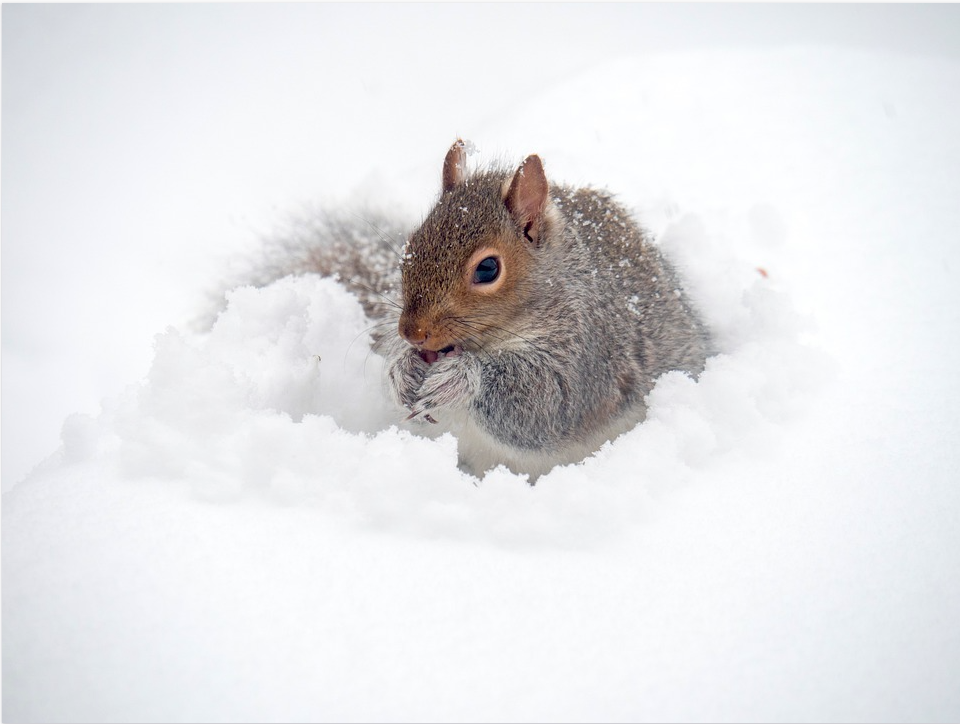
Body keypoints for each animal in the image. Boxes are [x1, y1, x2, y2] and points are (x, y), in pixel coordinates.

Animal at [246, 141, 712, 480]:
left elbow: (549, 402)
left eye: (488, 268)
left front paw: (459, 378)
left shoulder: (590, 349)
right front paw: (402, 370)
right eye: (411, 245)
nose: (412, 333)